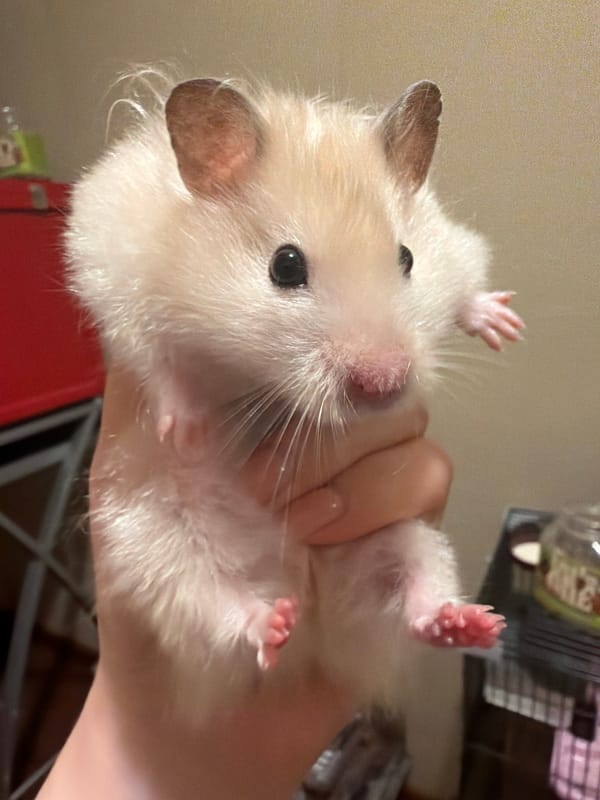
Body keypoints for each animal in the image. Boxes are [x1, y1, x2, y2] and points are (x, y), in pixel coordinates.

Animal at [66, 76, 524, 719]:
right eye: (285, 265)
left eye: (407, 258)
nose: (384, 384)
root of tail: (311, 614)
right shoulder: (111, 269)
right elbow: (159, 359)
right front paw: (187, 432)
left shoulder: (455, 247)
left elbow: (464, 284)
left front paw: (503, 323)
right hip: (157, 554)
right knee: (221, 611)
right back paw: (271, 623)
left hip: (408, 541)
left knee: (414, 599)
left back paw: (468, 623)